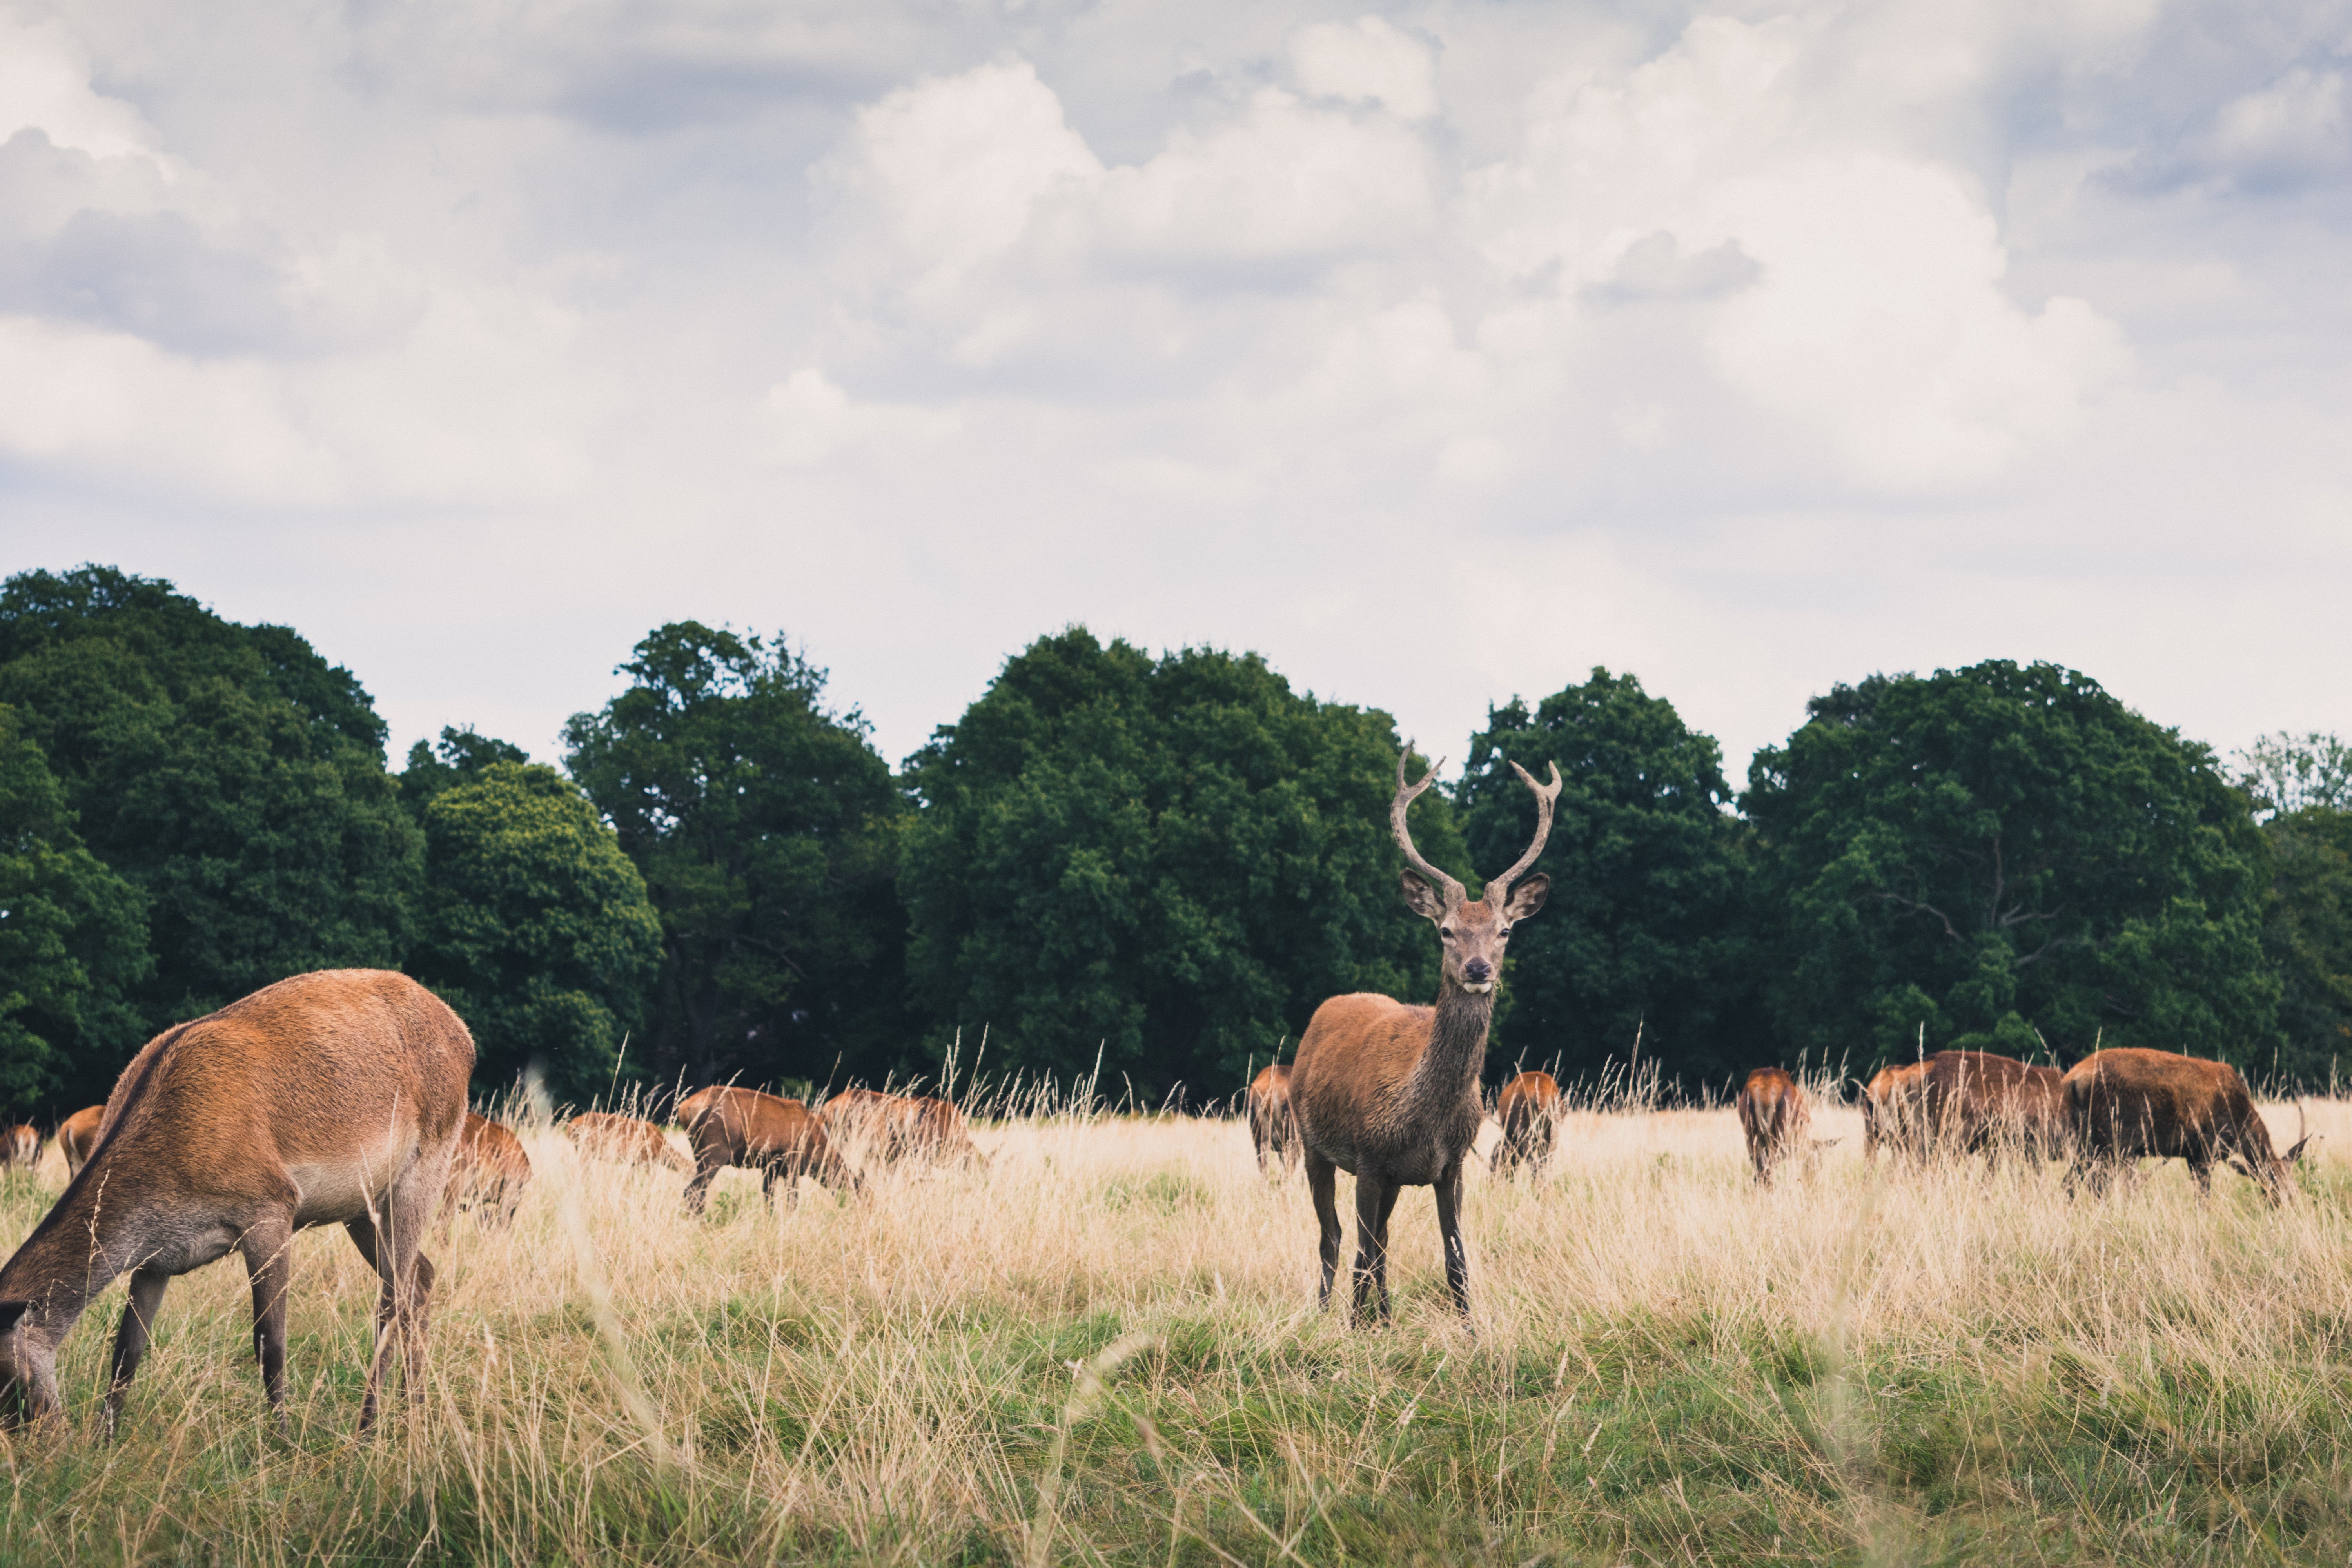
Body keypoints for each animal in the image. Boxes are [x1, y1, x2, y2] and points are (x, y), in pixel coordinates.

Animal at [0, 969, 472, 1433]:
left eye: (8, 1383)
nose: (42, 1438)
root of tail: (464, 1036)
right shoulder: (157, 1258)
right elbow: (127, 1351)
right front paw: (105, 1439)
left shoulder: (273, 1208)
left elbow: (270, 1343)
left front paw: (283, 1441)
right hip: (361, 1204)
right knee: (420, 1277)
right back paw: (415, 1411)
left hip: (426, 1166)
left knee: (391, 1301)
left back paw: (368, 1430)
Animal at [679, 1087, 858, 1212]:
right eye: (856, 1186)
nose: (855, 1207)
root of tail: (683, 1109)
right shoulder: (792, 1162)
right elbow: (793, 1200)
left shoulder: (770, 1166)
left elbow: (768, 1199)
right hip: (715, 1152)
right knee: (692, 1191)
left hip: (700, 1153)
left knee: (698, 1192)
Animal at [2064, 1047, 2311, 1203]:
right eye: (2274, 1185)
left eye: (2294, 1187)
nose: (2288, 1205)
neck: (2241, 1125)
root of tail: (2072, 1080)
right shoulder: (2208, 1148)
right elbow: (2203, 1196)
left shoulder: (2191, 1154)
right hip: (2112, 1139)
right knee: (2097, 1184)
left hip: (2085, 1143)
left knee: (2070, 1183)